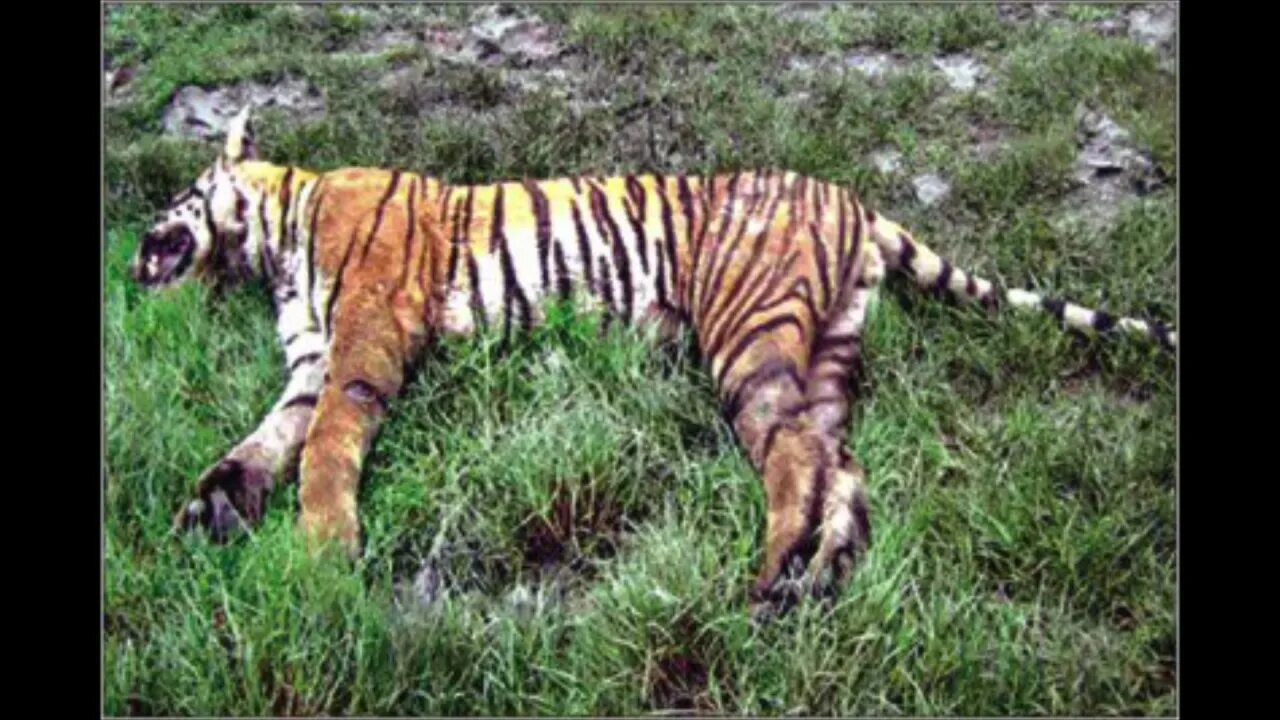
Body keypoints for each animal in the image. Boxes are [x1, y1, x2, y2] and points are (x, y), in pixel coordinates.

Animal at [129, 105, 1175, 610]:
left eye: (175, 194)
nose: (132, 253)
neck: (269, 241)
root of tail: (853, 198)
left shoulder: (363, 337)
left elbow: (326, 446)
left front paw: (319, 558)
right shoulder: (310, 357)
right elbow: (272, 435)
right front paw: (216, 504)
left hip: (749, 336)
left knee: (795, 456)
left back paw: (769, 576)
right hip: (827, 351)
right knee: (843, 465)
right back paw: (814, 579)